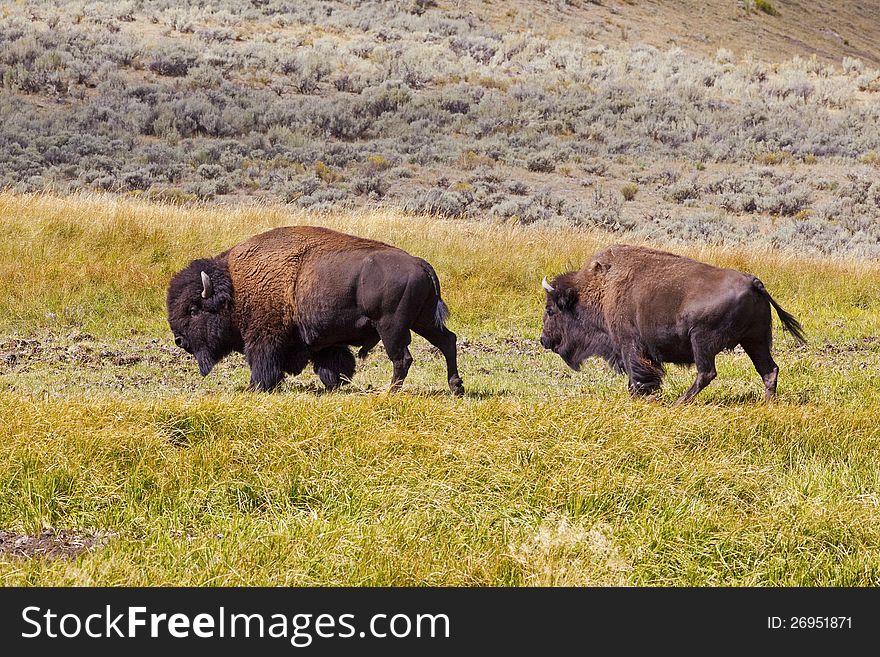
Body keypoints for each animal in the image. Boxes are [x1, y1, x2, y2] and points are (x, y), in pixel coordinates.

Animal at [168, 224, 464, 394]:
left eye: (193, 310)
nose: (179, 340)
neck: (234, 286)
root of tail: (420, 263)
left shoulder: (263, 338)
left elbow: (262, 363)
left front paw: (254, 387)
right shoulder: (326, 340)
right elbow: (331, 363)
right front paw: (335, 383)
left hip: (392, 326)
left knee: (402, 358)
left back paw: (390, 392)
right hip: (423, 320)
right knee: (448, 341)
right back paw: (456, 387)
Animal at [536, 243, 804, 402]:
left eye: (550, 310)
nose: (544, 340)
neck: (600, 289)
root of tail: (754, 282)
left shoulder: (629, 345)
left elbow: (638, 375)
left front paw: (641, 396)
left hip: (703, 341)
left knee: (706, 373)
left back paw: (680, 402)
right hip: (755, 340)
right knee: (768, 370)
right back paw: (767, 404)